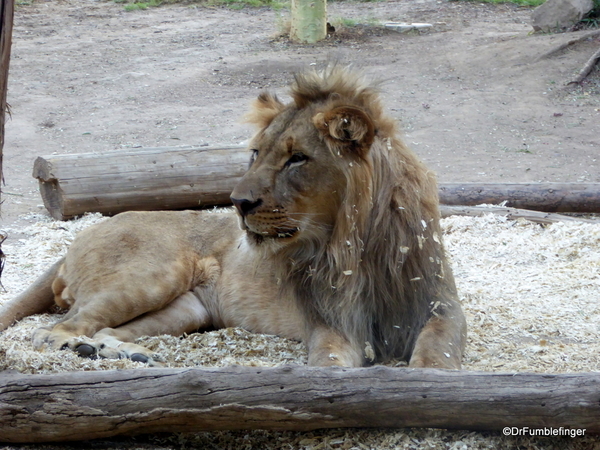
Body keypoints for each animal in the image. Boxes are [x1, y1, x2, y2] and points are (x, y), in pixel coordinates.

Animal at [0, 67, 468, 370]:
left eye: (297, 158)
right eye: (256, 153)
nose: (238, 202)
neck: (355, 245)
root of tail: (82, 234)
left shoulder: (440, 307)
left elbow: (435, 356)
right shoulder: (330, 322)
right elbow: (330, 364)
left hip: (185, 310)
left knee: (100, 332)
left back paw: (127, 354)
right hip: (149, 276)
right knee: (57, 328)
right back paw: (81, 350)